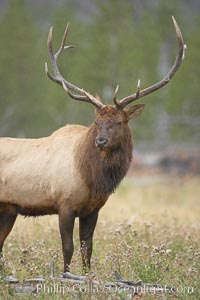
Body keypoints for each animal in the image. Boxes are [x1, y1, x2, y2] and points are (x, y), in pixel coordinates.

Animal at [0, 16, 186, 274]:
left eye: (119, 121)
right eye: (96, 122)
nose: (101, 141)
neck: (92, 177)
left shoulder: (93, 209)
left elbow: (87, 249)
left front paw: (87, 277)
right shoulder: (64, 204)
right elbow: (68, 248)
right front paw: (66, 276)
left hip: (8, 209)